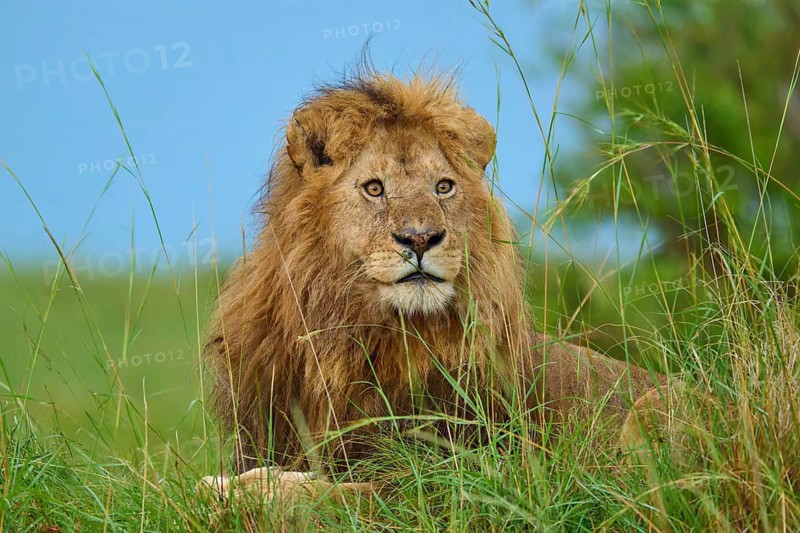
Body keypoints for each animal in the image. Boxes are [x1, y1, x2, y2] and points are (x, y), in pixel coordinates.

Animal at [202, 69, 667, 501]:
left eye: (443, 187)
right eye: (375, 188)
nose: (421, 238)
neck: (354, 333)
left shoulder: (463, 471)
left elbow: (348, 493)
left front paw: (248, 491)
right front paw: (229, 483)